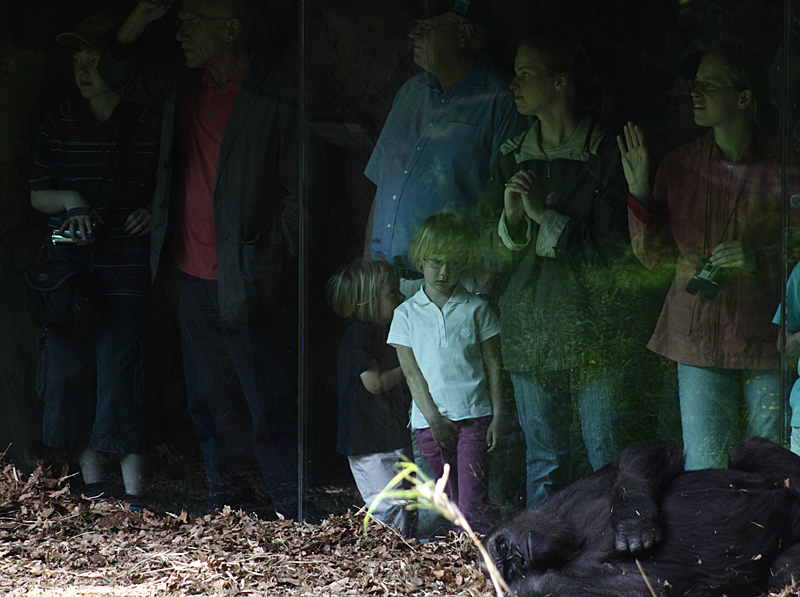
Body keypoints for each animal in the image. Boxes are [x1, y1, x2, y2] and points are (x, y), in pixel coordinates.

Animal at [482, 436, 800, 592]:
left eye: (504, 548)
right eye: (510, 570)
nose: (518, 557)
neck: (575, 542)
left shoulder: (571, 494)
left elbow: (637, 458)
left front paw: (633, 517)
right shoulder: (540, 588)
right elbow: (646, 587)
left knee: (746, 449)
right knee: (782, 569)